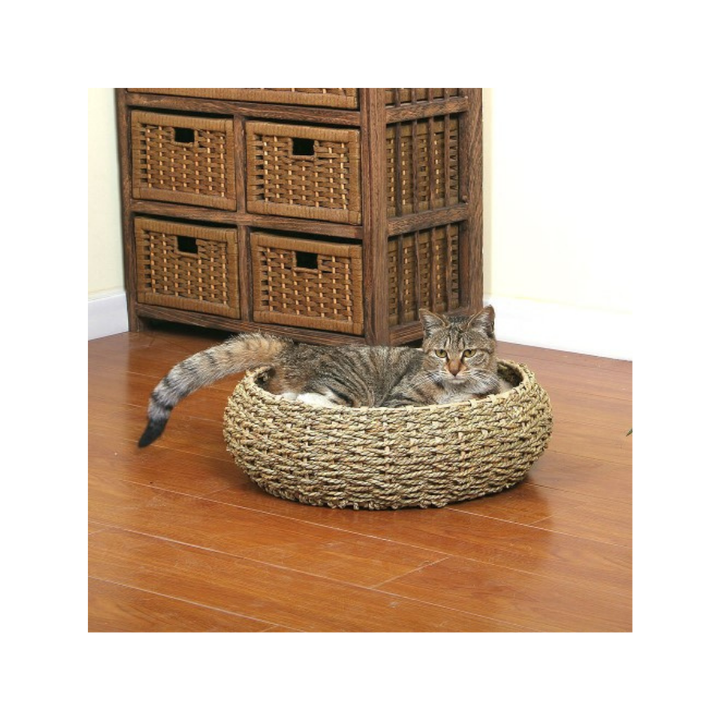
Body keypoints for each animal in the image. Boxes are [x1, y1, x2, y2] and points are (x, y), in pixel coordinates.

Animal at [138, 305, 512, 447]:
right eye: (441, 353)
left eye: (469, 353)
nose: (454, 368)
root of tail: (295, 349)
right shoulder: (399, 400)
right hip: (348, 386)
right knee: (311, 399)